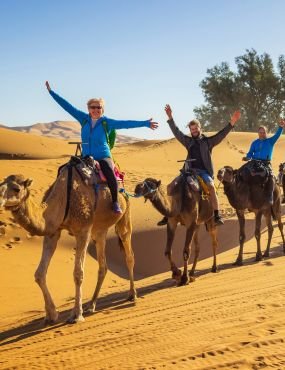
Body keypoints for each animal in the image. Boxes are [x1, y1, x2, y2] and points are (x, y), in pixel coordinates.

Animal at [0, 165, 135, 324]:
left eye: (16, 188)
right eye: (0, 184)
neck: (63, 200)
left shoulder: (83, 230)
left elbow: (78, 273)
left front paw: (76, 315)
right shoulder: (53, 232)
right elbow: (39, 273)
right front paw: (51, 315)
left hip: (124, 215)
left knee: (129, 253)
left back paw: (132, 295)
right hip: (99, 230)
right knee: (103, 266)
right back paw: (91, 305)